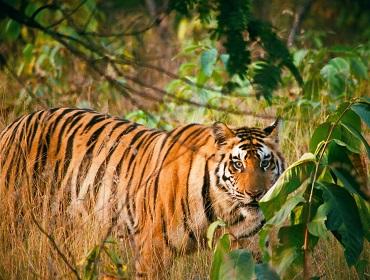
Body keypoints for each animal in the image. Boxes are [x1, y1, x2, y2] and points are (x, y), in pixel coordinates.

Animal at [0, 107, 286, 278]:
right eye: (237, 164)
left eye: (265, 163)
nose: (257, 194)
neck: (223, 210)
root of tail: (15, 123)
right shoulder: (153, 249)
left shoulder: (245, 248)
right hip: (14, 219)